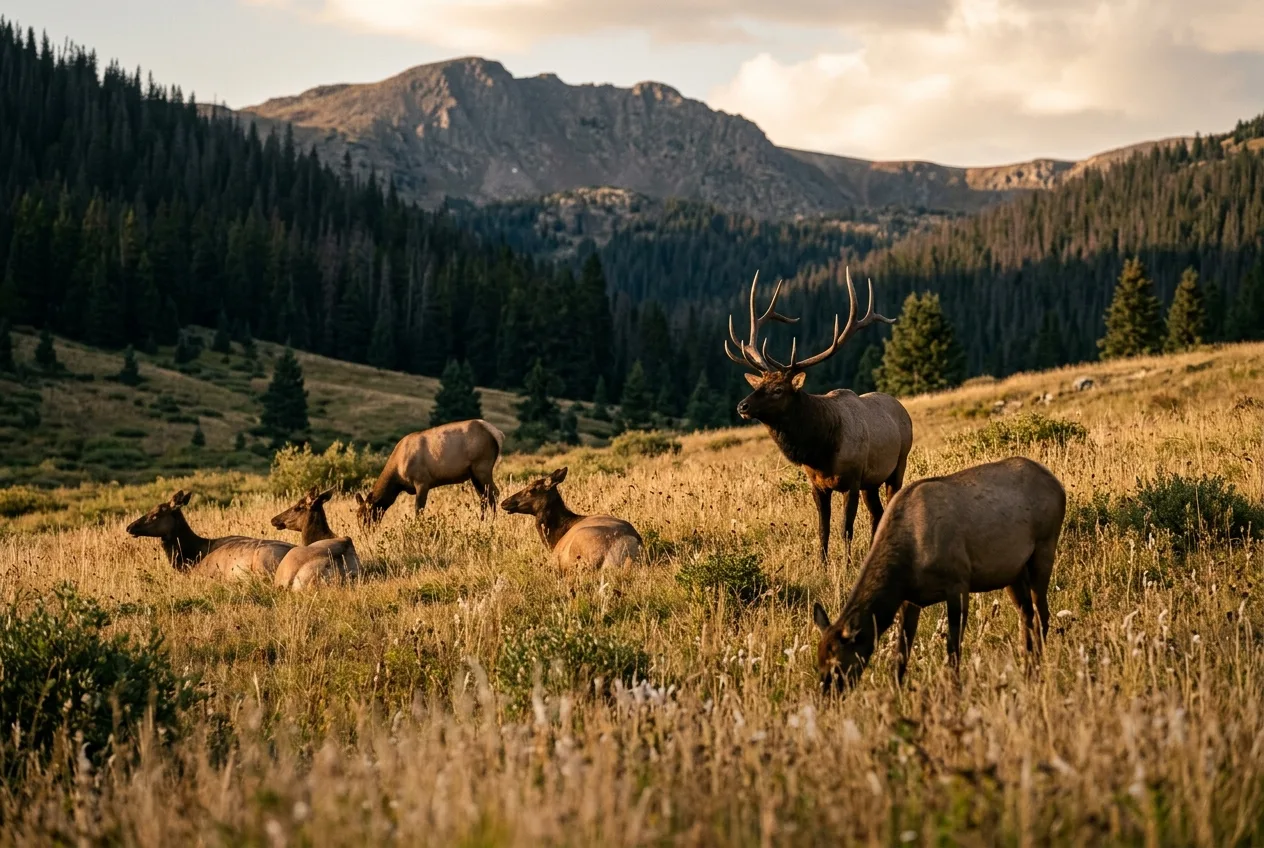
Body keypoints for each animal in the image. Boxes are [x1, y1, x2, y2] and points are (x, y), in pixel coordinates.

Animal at [356, 419, 505, 527]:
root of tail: (497, 433)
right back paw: (482, 521)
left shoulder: (422, 481)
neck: (398, 477)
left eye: (365, 516)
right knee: (484, 496)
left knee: (494, 493)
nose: (364, 533)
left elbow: (418, 509)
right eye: (357, 516)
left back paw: (493, 521)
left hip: (482, 466)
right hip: (474, 473)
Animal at [723, 268, 913, 564]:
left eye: (778, 390)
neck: (822, 450)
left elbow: (845, 528)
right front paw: (821, 565)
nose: (742, 406)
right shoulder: (817, 484)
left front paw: (846, 566)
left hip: (897, 465)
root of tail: (902, 409)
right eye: (758, 385)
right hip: (872, 481)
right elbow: (822, 529)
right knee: (877, 514)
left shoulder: (853, 479)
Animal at [811, 457, 1067, 694]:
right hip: (1012, 573)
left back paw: (1035, 670)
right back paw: (1026, 667)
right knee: (1027, 614)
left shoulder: (959, 582)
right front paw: (896, 689)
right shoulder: (910, 598)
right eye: (818, 663)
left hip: (1044, 548)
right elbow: (902, 649)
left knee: (1042, 614)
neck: (906, 567)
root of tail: (1058, 485)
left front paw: (954, 689)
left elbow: (953, 649)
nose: (827, 697)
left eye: (838, 665)